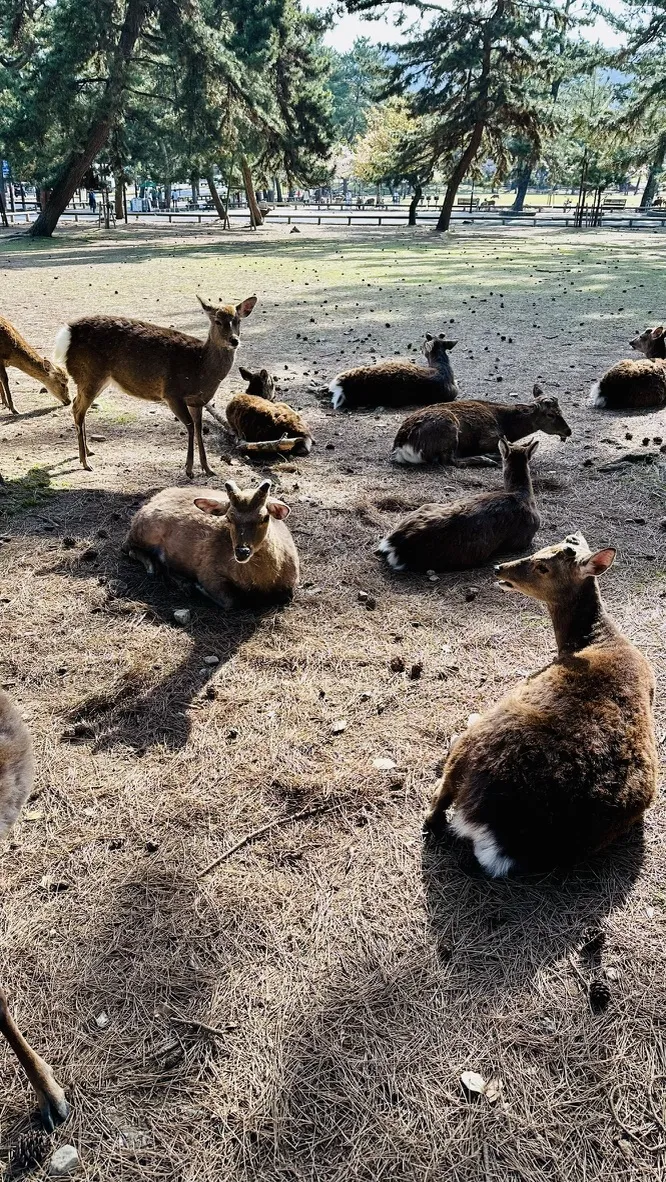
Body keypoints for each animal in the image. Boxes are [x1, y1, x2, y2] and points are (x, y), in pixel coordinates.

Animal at [53, 295, 257, 476]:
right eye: (217, 321)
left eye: (237, 320)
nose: (234, 340)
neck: (199, 368)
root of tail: (66, 334)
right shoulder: (172, 393)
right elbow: (190, 426)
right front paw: (189, 469)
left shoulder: (197, 401)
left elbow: (199, 428)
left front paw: (208, 469)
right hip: (90, 375)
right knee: (78, 409)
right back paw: (85, 463)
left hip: (95, 380)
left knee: (77, 405)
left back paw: (88, 452)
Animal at [126, 478, 299, 609]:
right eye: (229, 517)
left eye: (265, 517)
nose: (242, 551)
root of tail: (150, 501)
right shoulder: (208, 570)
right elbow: (231, 601)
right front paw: (198, 587)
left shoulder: (292, 582)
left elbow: (287, 596)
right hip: (145, 531)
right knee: (129, 547)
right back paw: (159, 571)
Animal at [392, 384, 571, 466]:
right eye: (551, 414)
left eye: (561, 410)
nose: (568, 431)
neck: (504, 424)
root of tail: (400, 447)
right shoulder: (488, 436)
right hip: (449, 427)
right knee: (450, 460)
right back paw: (487, 459)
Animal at [425, 534, 658, 876]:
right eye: (540, 550)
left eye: (543, 567)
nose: (499, 568)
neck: (595, 640)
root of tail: (504, 838)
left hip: (483, 734)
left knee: (437, 808)